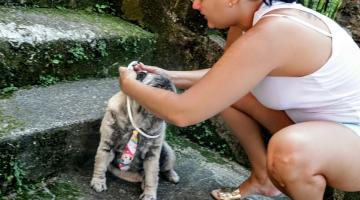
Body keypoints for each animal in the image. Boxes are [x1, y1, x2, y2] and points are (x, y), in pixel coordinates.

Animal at [90, 71, 179, 200]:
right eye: (158, 87)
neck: (140, 121)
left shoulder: (152, 156)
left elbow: (152, 178)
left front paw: (149, 194)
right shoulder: (107, 146)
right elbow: (100, 165)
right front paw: (98, 182)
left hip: (167, 152)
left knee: (164, 169)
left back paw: (172, 176)